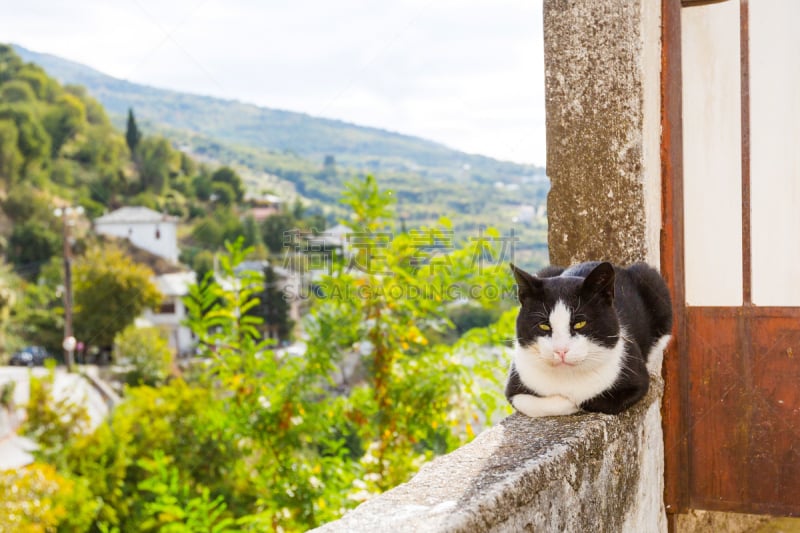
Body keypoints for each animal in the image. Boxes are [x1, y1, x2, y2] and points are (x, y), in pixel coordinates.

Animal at [506, 260, 676, 418]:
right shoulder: (514, 386)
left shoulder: (637, 380)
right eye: (544, 326)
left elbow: (593, 401)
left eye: (580, 323)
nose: (560, 350)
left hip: (653, 281)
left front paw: (574, 401)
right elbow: (533, 403)